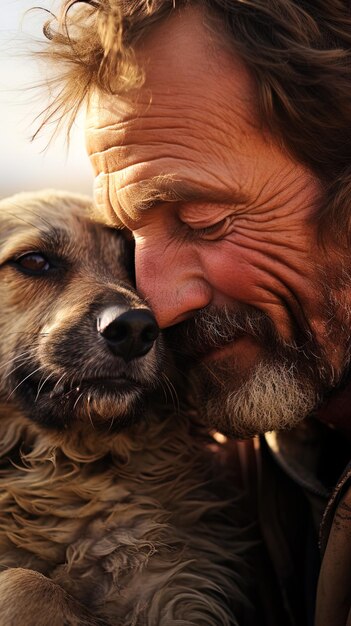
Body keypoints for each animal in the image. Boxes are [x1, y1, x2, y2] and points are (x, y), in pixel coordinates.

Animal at [0, 190, 256, 624]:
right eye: (33, 261)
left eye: (134, 264)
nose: (135, 329)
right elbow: (26, 579)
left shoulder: (171, 591)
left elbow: (24, 584)